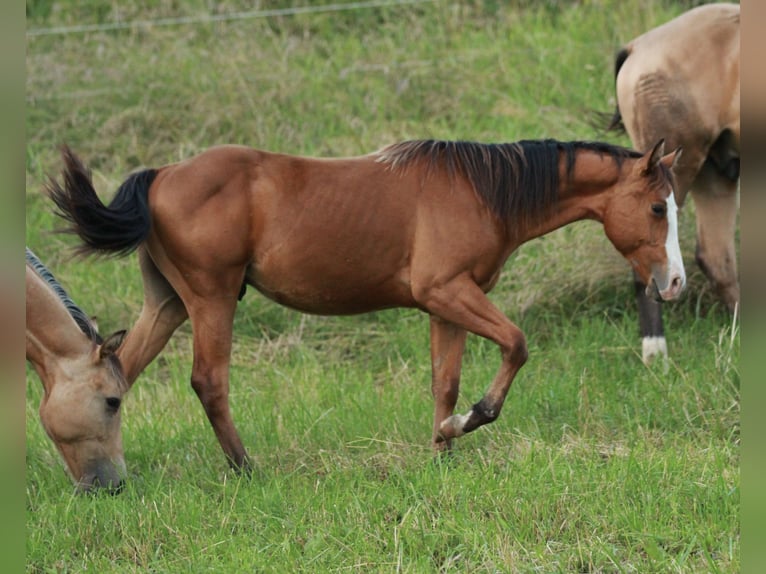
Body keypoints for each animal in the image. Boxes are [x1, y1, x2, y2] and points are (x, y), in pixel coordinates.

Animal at [46, 140, 684, 472]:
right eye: (658, 208)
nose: (674, 282)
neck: (481, 191)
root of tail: (161, 176)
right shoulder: (448, 291)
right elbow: (516, 346)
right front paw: (469, 421)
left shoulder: (446, 306)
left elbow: (445, 382)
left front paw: (442, 447)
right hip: (212, 298)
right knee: (209, 381)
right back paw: (245, 467)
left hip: (170, 302)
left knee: (120, 373)